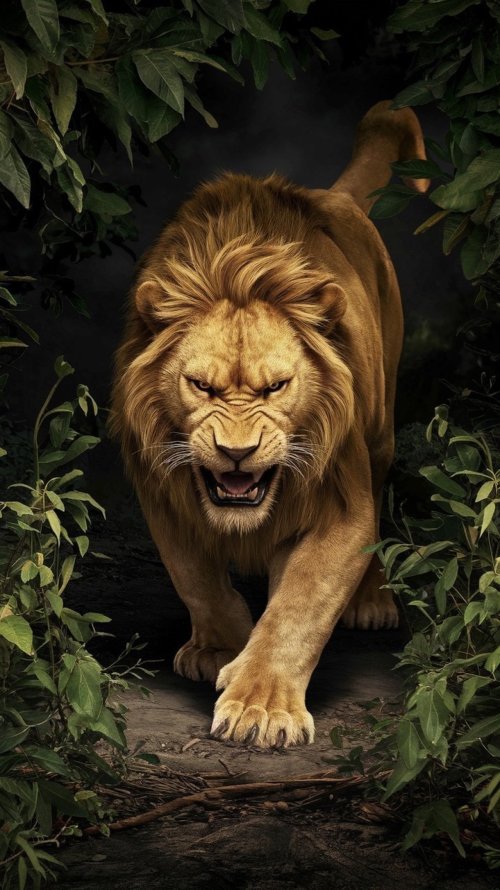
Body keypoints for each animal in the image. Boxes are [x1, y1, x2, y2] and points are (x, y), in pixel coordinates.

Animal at [110, 101, 428, 748]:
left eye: (277, 387)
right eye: (201, 386)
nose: (237, 452)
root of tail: (336, 196)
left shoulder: (340, 503)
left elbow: (301, 605)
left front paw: (259, 704)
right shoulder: (161, 492)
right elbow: (195, 576)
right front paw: (220, 650)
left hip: (380, 431)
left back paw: (372, 602)